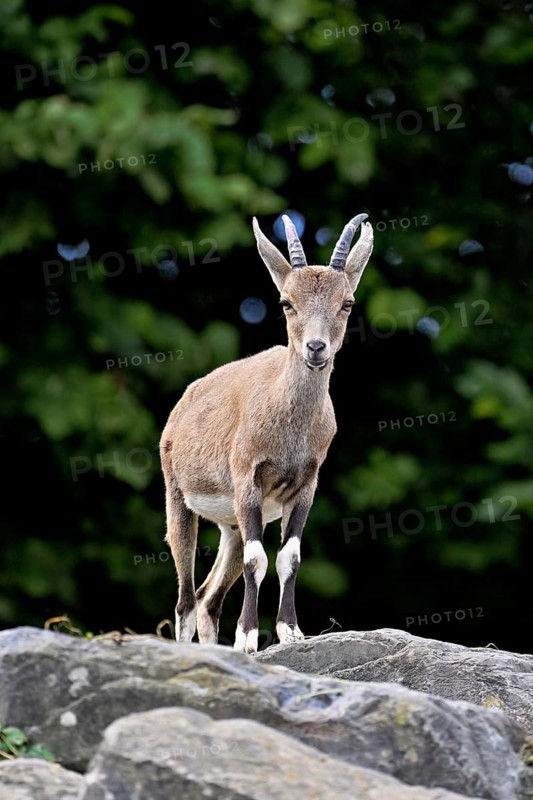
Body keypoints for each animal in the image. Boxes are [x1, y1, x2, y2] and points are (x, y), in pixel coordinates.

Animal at [160, 213, 373, 653]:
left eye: (347, 303)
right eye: (286, 302)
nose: (315, 348)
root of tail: (182, 406)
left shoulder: (306, 484)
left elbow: (289, 556)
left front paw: (290, 631)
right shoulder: (247, 479)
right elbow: (258, 559)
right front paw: (247, 638)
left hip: (230, 525)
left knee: (208, 597)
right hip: (179, 499)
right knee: (186, 599)